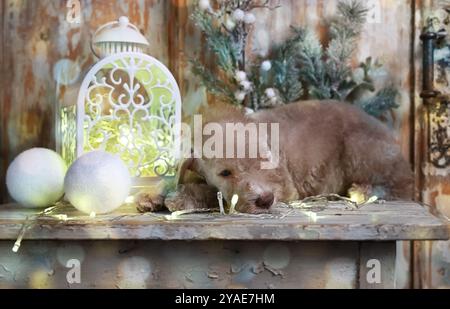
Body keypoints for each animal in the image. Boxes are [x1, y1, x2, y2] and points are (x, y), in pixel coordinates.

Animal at [136, 100, 412, 213]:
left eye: (263, 162)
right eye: (225, 172)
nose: (266, 200)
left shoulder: (285, 187)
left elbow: (215, 195)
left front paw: (180, 198)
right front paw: (151, 196)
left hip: (360, 149)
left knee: (401, 184)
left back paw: (362, 191)